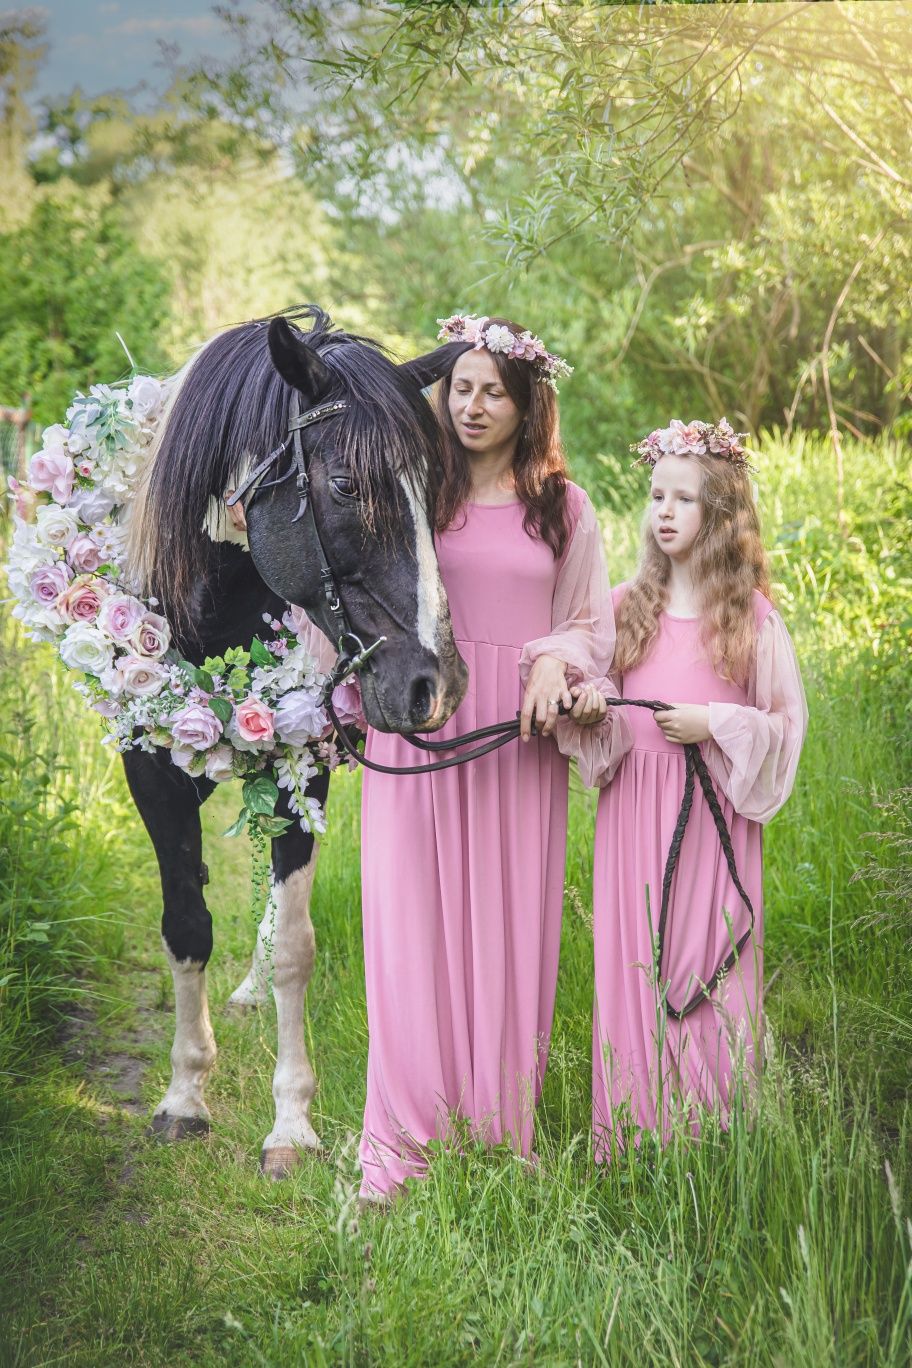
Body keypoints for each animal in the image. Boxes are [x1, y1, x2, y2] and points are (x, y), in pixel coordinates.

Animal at [125, 307, 467, 1176]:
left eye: (434, 489)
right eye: (345, 484)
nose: (436, 685)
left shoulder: (297, 766)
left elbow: (292, 947)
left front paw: (291, 1125)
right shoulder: (151, 774)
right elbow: (186, 926)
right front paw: (184, 1096)